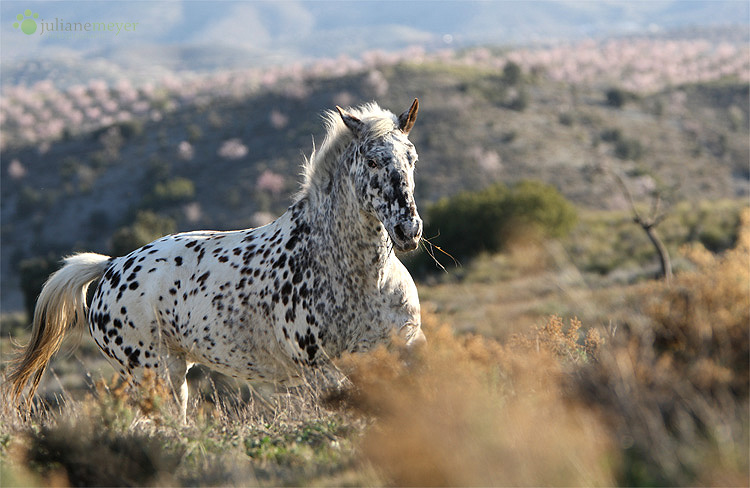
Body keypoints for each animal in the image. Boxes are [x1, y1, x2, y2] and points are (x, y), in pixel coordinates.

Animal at [8, 99, 426, 420]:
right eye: (372, 162)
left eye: (412, 159)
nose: (408, 229)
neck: (358, 277)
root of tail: (112, 266)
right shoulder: (320, 370)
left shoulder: (402, 351)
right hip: (151, 375)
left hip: (173, 375)